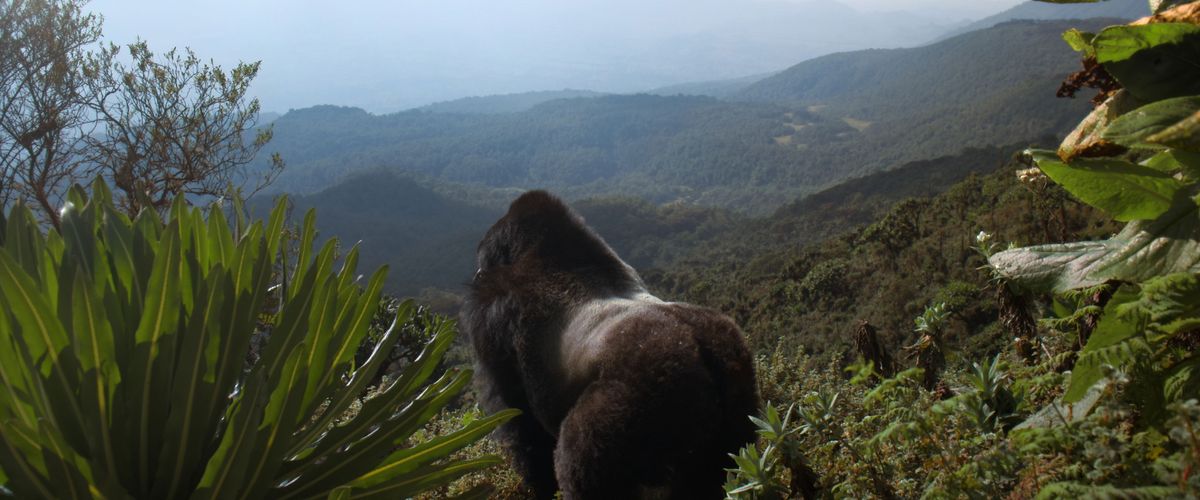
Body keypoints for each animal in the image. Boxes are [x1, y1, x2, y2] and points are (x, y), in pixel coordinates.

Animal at [461, 190, 757, 499]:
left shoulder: (492, 311)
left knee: (579, 461)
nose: (477, 274)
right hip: (737, 380)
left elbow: (521, 422)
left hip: (640, 392)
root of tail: (701, 346)